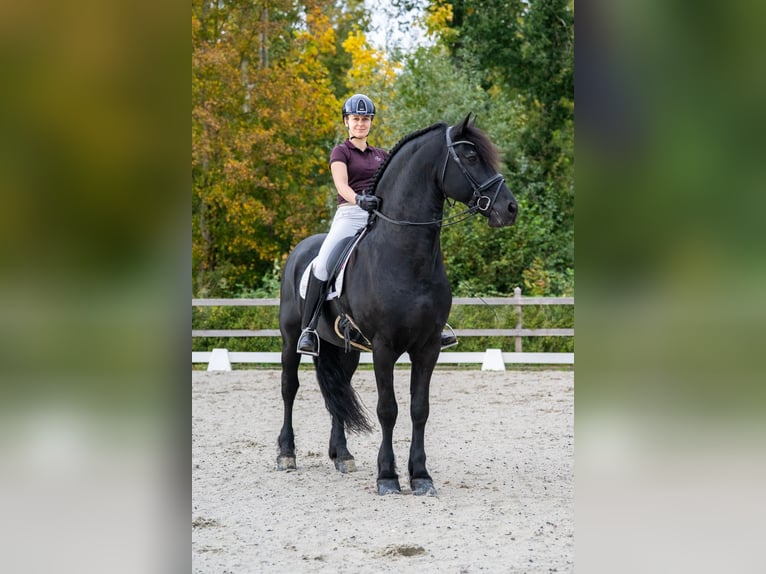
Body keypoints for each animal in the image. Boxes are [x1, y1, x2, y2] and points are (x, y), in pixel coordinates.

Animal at [277, 114, 518, 495]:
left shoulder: (428, 346)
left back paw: (342, 456)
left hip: (345, 350)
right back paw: (286, 454)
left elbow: (420, 409)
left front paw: (420, 476)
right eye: (469, 157)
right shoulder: (384, 347)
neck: (405, 255)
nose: (509, 209)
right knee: (290, 388)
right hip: (290, 339)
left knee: (338, 392)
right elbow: (387, 409)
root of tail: (301, 250)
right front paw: (388, 477)